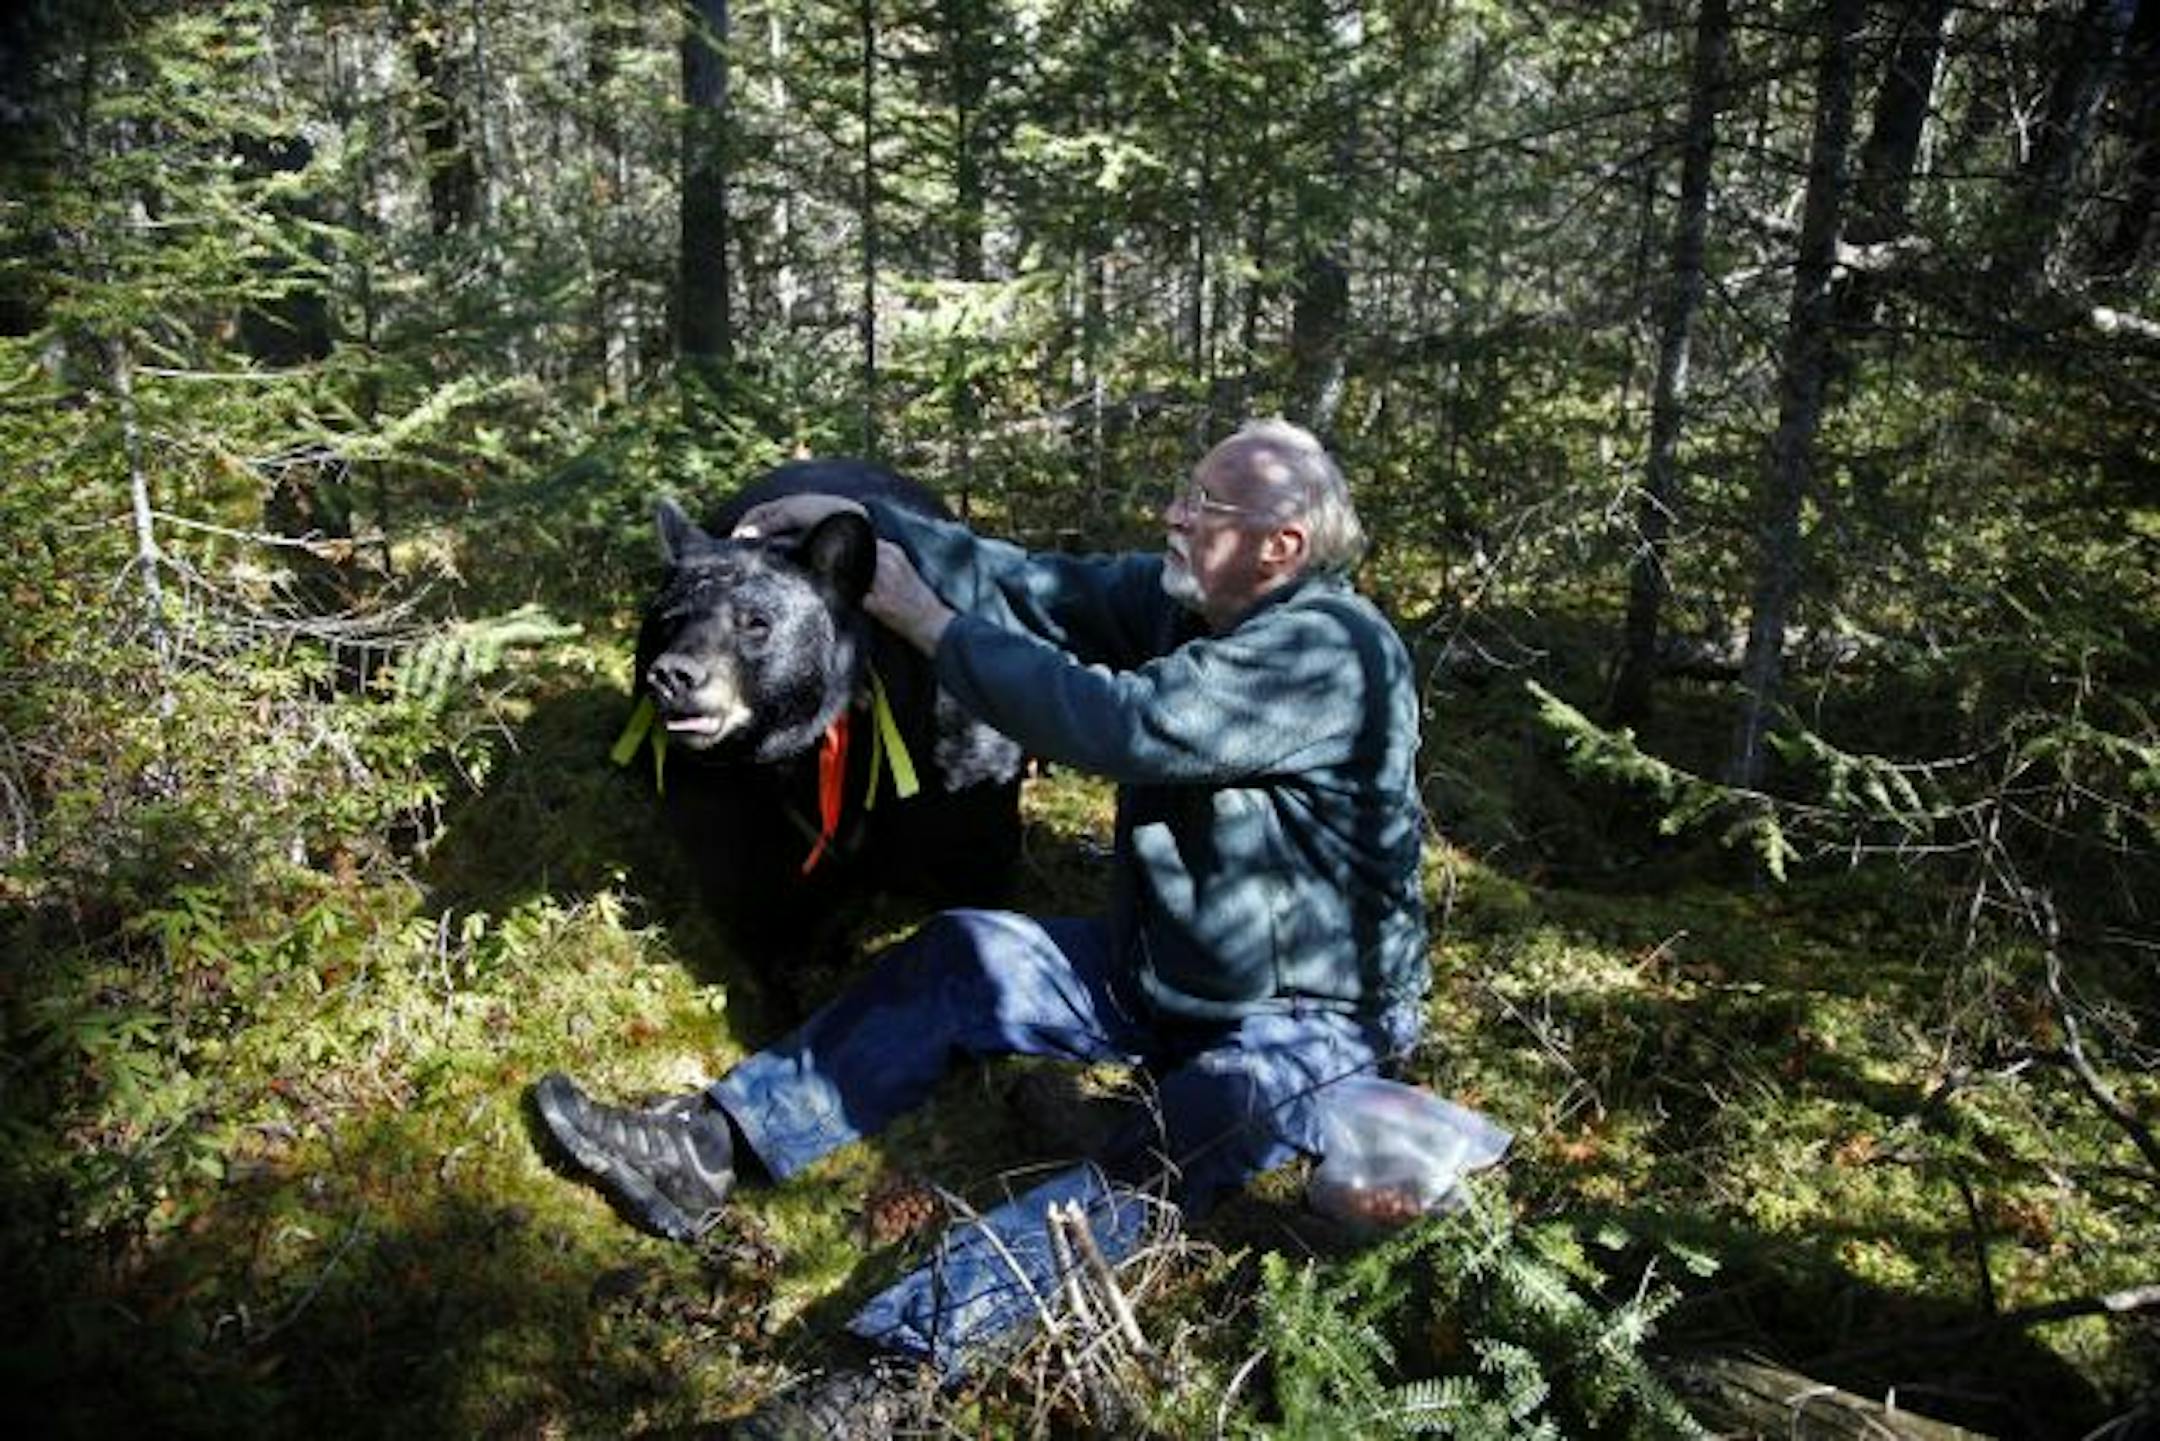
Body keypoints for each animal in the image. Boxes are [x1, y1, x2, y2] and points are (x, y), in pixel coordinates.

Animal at [622, 458, 1025, 993]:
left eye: (756, 622)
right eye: (670, 619)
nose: (671, 676)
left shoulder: (956, 770)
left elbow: (978, 869)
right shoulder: (738, 811)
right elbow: (759, 911)